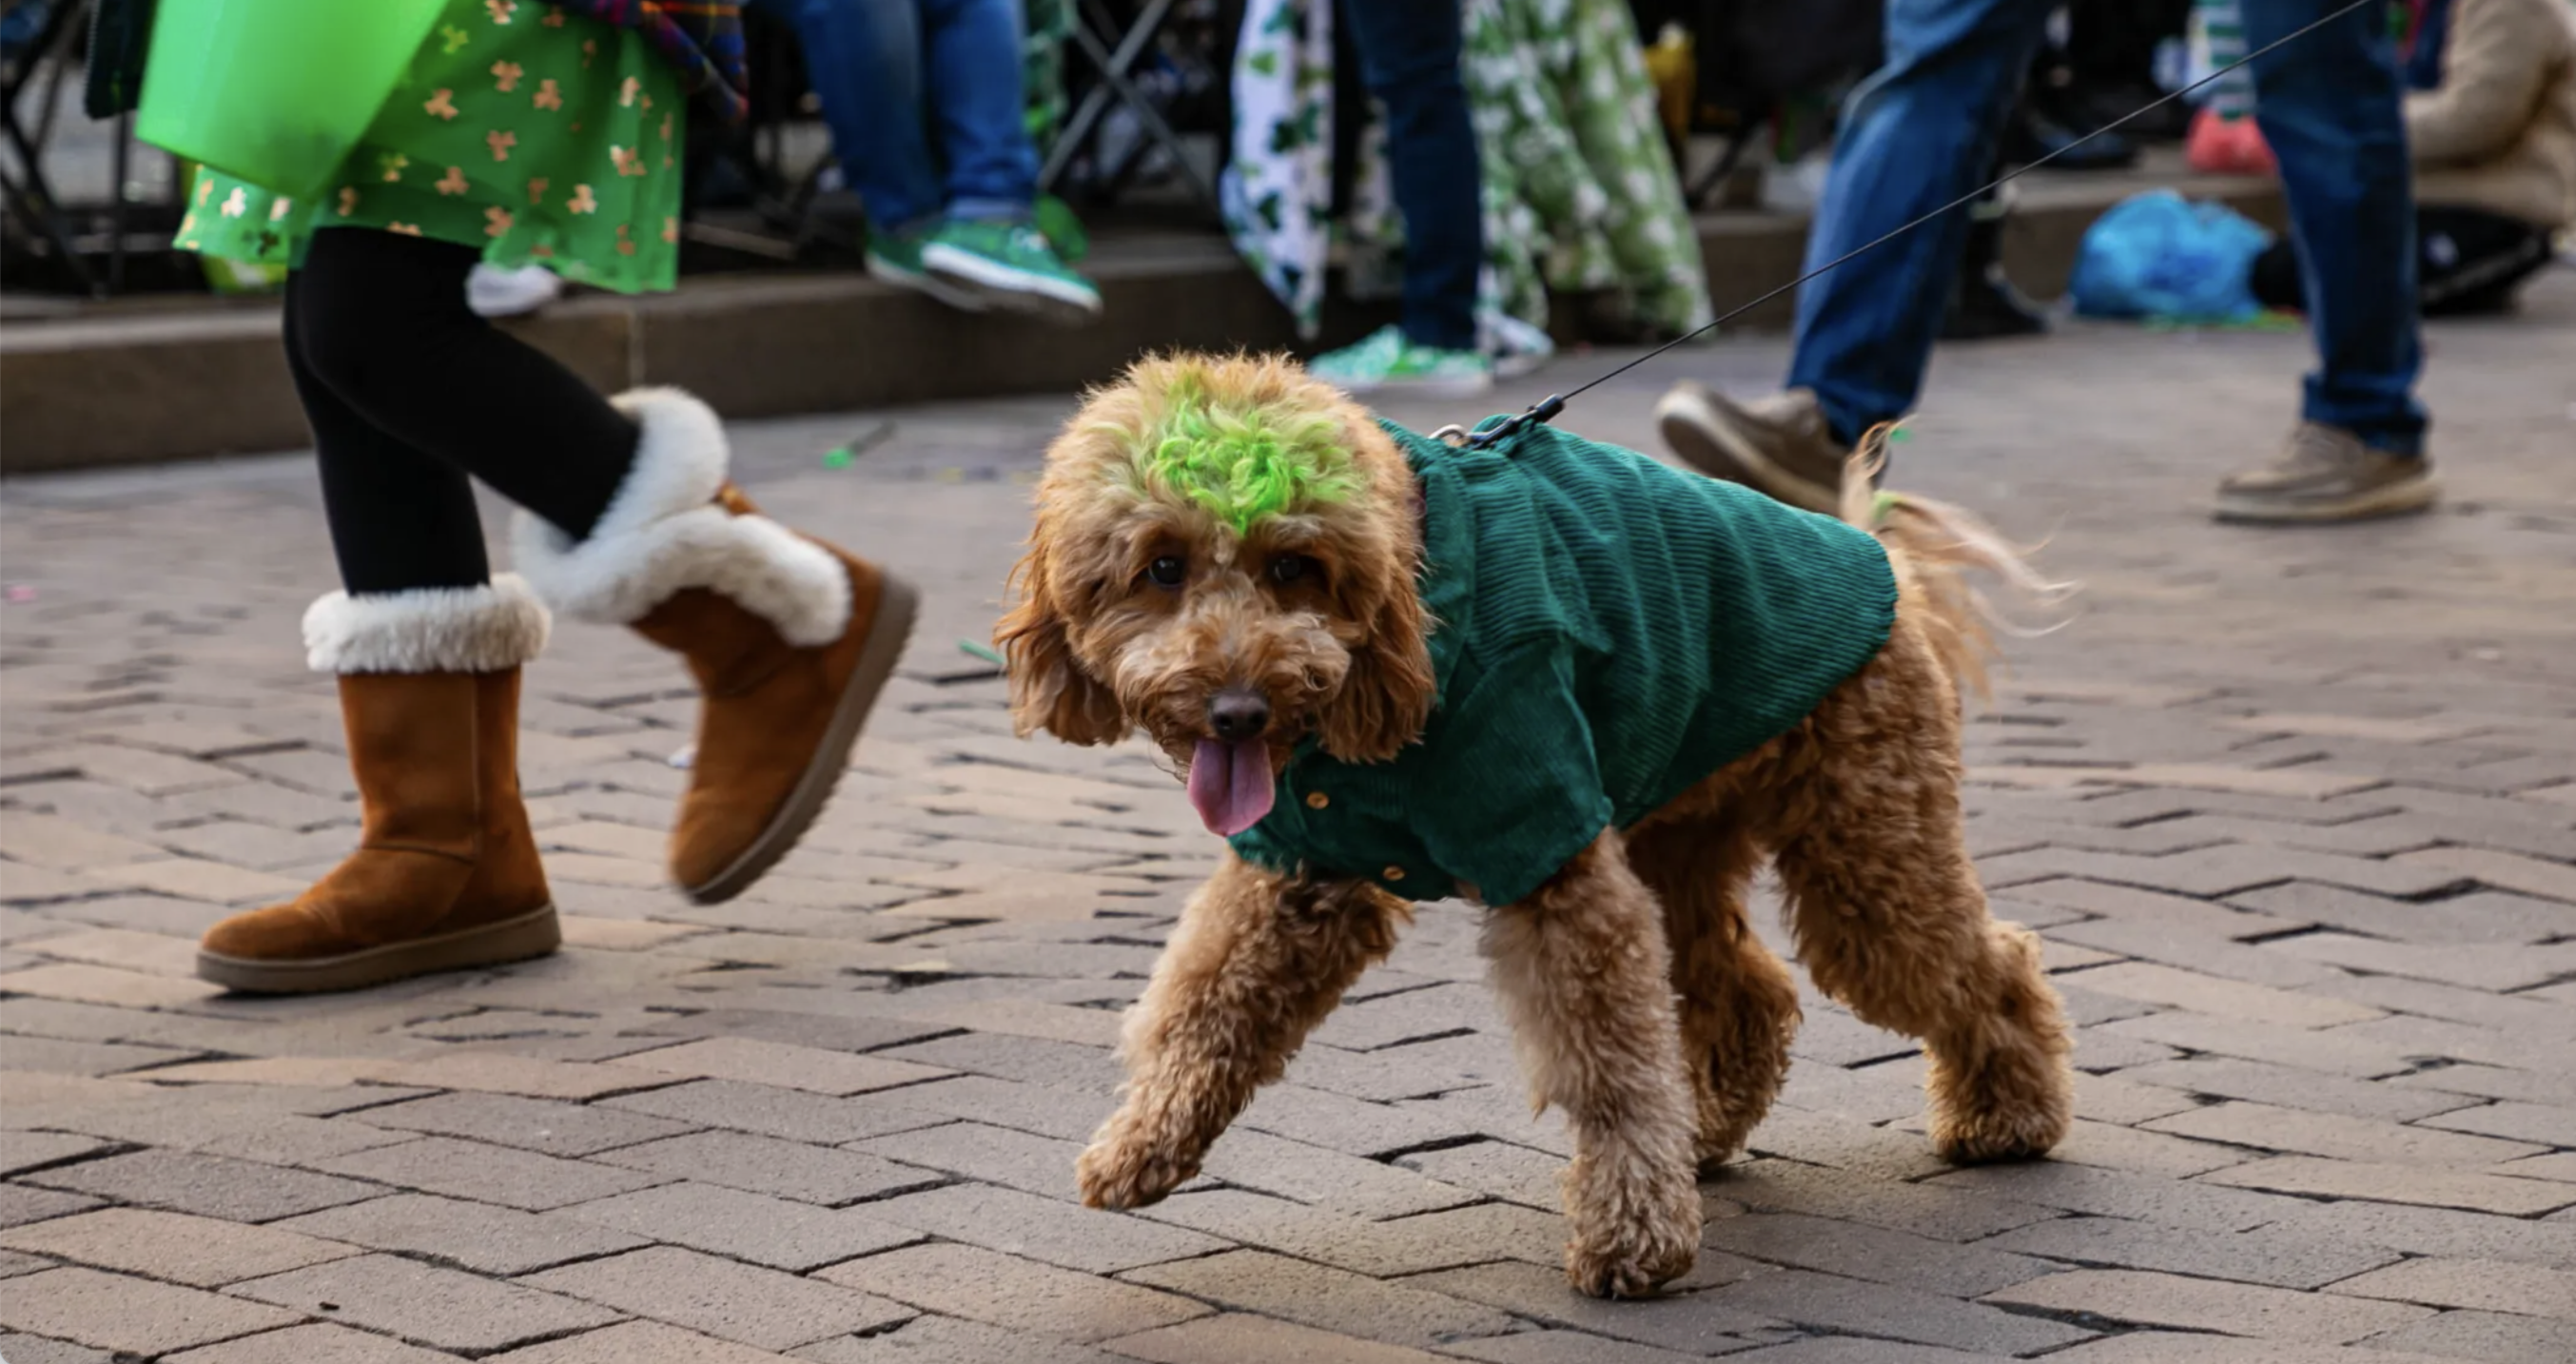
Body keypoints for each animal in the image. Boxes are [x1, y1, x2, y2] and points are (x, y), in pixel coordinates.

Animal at [994, 349, 2081, 1296]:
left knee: (1983, 966)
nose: (1236, 710)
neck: (1415, 622)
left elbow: (1608, 1066)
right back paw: (1707, 1132)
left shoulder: (1552, 854)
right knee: (1745, 991)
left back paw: (2009, 1113)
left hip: (1865, 848)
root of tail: (1882, 558)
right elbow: (1207, 1004)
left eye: (1295, 565)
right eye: (1161, 566)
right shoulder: (1305, 863)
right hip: (1678, 834)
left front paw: (1635, 1240)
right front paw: (1140, 1147)